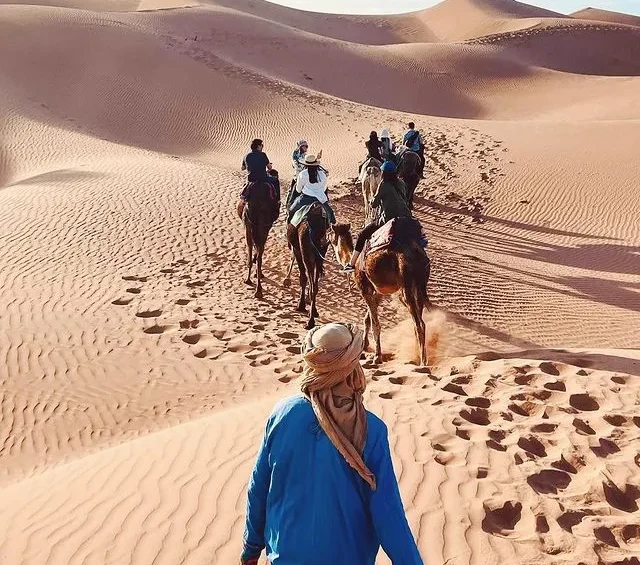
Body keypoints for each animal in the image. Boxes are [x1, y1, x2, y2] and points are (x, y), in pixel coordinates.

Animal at [330, 218, 430, 364]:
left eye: (330, 232)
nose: (326, 238)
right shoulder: (378, 292)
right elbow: (368, 319)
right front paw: (365, 346)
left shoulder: (364, 289)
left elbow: (375, 324)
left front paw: (377, 356)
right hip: (419, 285)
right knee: (419, 319)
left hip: (405, 288)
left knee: (419, 324)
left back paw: (423, 362)